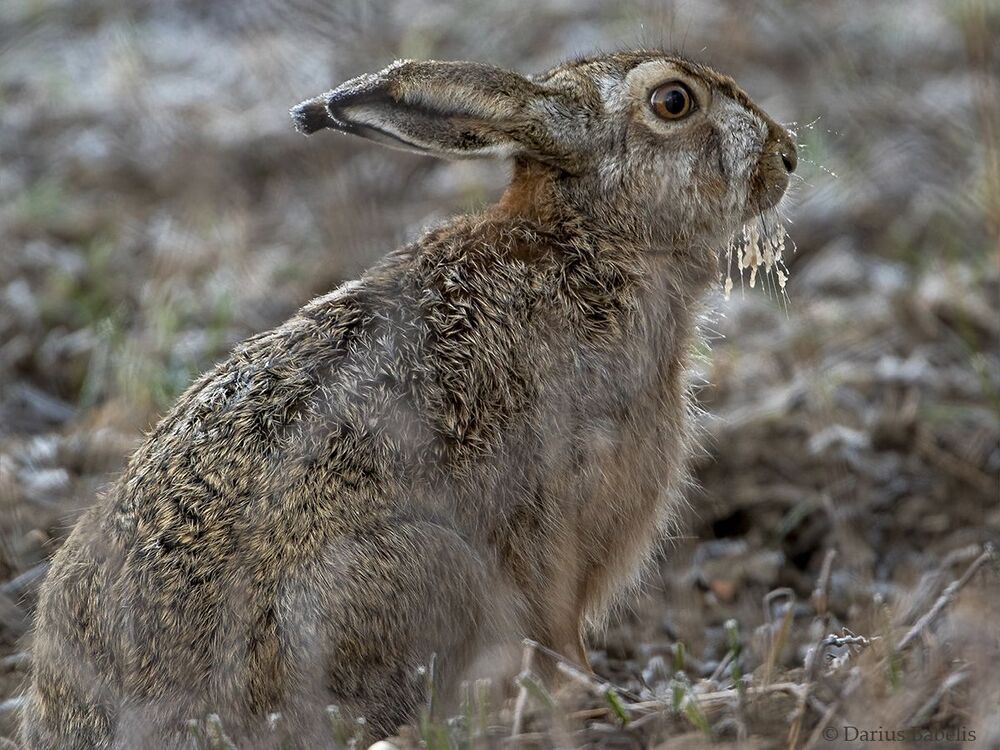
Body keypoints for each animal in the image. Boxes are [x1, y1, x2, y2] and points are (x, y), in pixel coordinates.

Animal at [21, 50, 796, 748]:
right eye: (674, 102)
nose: (787, 156)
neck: (594, 239)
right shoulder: (562, 523)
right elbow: (559, 637)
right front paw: (601, 702)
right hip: (419, 574)